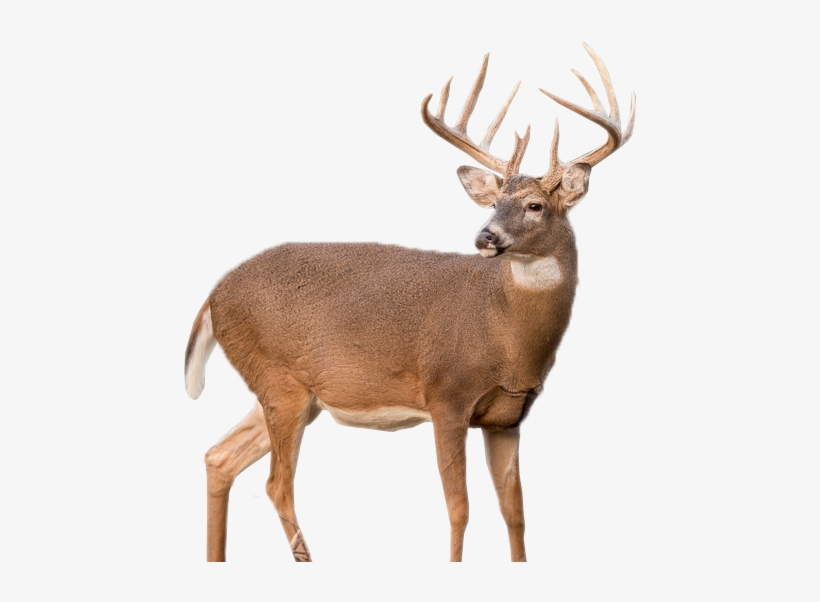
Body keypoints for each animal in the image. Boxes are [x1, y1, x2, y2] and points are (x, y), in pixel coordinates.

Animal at [185, 44, 635, 563]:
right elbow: (459, 509)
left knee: (219, 457)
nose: (484, 236)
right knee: (277, 484)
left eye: (534, 205)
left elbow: (516, 514)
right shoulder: (447, 395)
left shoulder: (507, 417)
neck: (508, 338)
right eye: (493, 202)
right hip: (279, 379)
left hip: (290, 391)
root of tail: (212, 296)